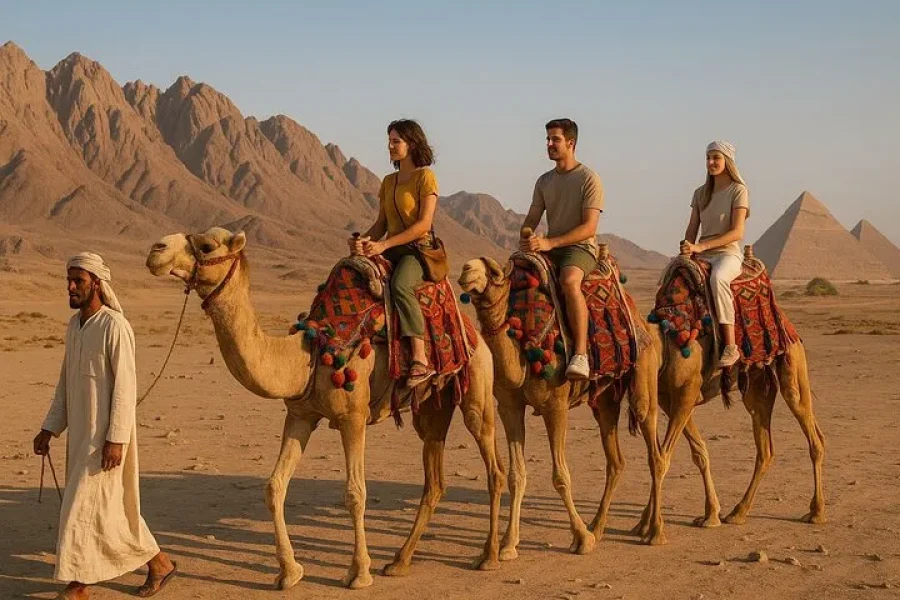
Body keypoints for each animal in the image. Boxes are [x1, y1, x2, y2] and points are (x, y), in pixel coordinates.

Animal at [144, 227, 505, 591]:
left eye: (206, 246)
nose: (156, 250)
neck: (308, 354)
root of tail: (471, 330)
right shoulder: (300, 416)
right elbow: (274, 487)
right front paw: (289, 572)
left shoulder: (353, 418)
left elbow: (355, 493)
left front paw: (359, 573)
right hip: (432, 406)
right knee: (434, 480)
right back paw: (399, 561)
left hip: (477, 386)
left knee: (493, 467)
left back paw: (490, 556)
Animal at [458, 252, 667, 556]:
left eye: (495, 272)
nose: (466, 269)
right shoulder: (509, 406)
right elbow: (516, 475)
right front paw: (508, 544)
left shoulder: (554, 406)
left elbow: (560, 476)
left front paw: (581, 538)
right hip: (604, 400)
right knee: (616, 460)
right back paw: (598, 527)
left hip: (644, 372)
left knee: (655, 452)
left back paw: (655, 532)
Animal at [638, 246, 825, 532]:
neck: (666, 338)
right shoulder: (669, 399)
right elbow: (696, 452)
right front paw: (709, 514)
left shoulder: (686, 392)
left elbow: (664, 456)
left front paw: (650, 527)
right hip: (757, 385)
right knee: (766, 449)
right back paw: (738, 512)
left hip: (792, 364)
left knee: (812, 434)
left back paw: (816, 512)